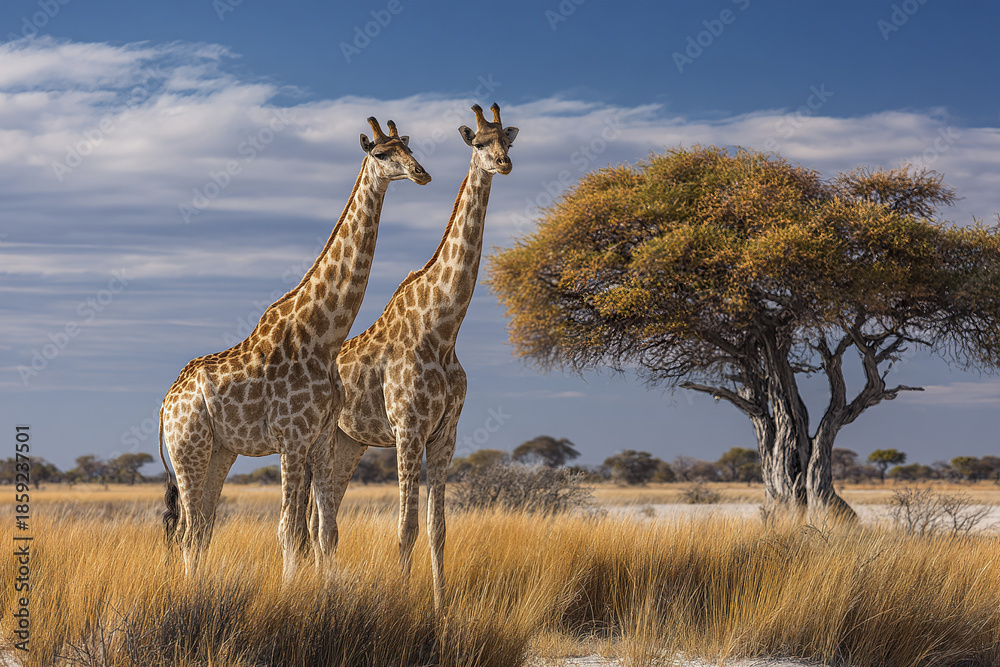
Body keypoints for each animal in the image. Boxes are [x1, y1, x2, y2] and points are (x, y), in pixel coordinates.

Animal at [158, 117, 431, 581]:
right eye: (381, 154)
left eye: (410, 148)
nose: (420, 173)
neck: (323, 336)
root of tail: (165, 404)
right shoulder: (292, 438)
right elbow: (289, 530)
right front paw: (290, 593)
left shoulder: (320, 438)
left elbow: (325, 532)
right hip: (187, 448)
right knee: (189, 529)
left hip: (219, 451)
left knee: (202, 529)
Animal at [307, 103, 517, 612]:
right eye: (481, 142)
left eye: (507, 140)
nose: (504, 164)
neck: (442, 328)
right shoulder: (407, 428)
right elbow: (404, 528)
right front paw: (405, 607)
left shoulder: (446, 432)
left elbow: (438, 529)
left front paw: (441, 609)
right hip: (322, 441)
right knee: (317, 522)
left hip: (350, 442)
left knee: (324, 519)